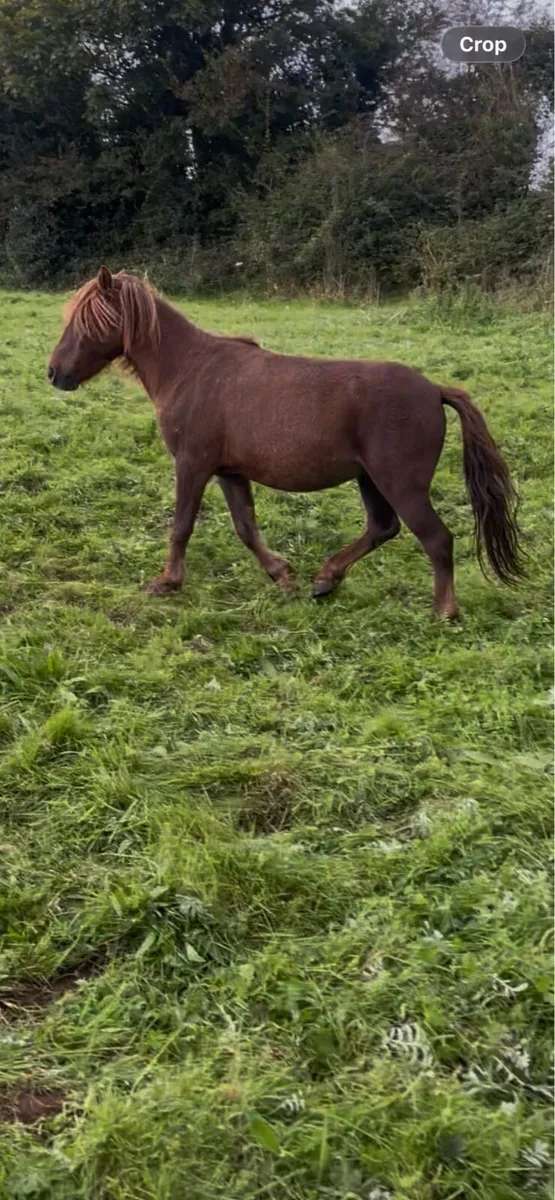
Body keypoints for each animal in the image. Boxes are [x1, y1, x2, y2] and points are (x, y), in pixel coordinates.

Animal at [47, 267, 523, 616]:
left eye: (86, 321)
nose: (54, 373)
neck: (190, 369)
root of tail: (434, 390)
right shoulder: (229, 472)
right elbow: (246, 527)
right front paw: (283, 576)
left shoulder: (192, 463)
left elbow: (181, 526)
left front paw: (167, 582)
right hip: (370, 480)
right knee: (382, 528)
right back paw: (326, 580)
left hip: (399, 483)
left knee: (437, 540)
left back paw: (444, 611)